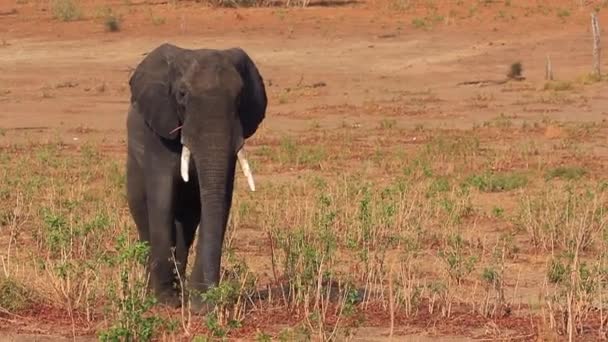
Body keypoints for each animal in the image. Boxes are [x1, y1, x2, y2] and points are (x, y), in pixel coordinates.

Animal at [124, 41, 268, 312]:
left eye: (239, 97)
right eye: (182, 94)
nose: (207, 301)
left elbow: (220, 199)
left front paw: (199, 302)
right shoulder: (159, 128)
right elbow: (162, 198)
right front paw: (165, 301)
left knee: (188, 223)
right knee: (143, 216)